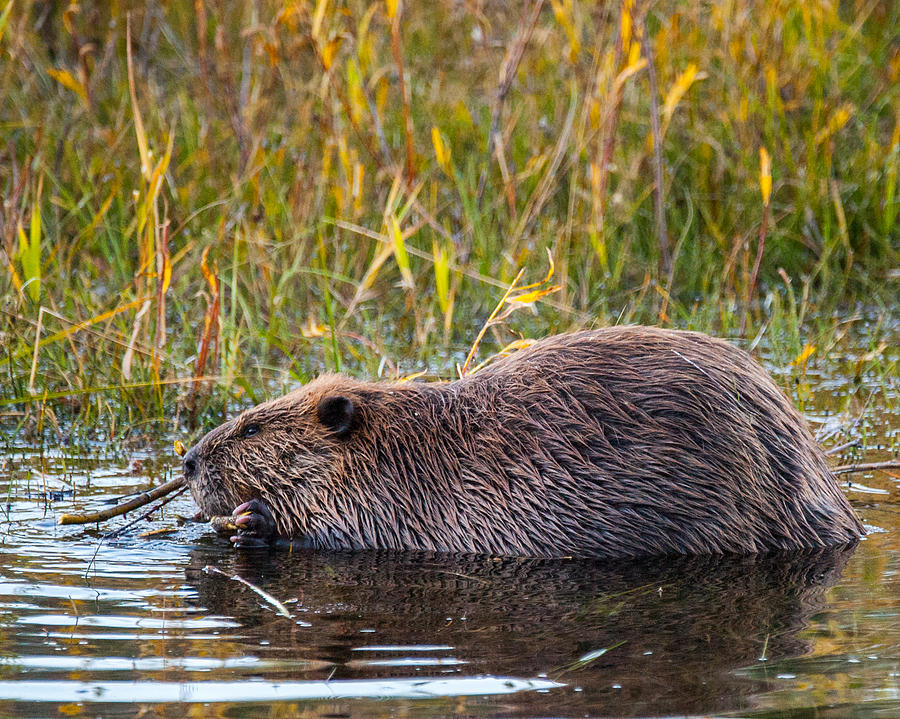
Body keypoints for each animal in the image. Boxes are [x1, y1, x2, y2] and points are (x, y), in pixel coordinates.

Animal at [183, 326, 864, 556]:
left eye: (250, 427)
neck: (405, 446)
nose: (187, 460)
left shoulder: (397, 503)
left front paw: (251, 518)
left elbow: (344, 533)